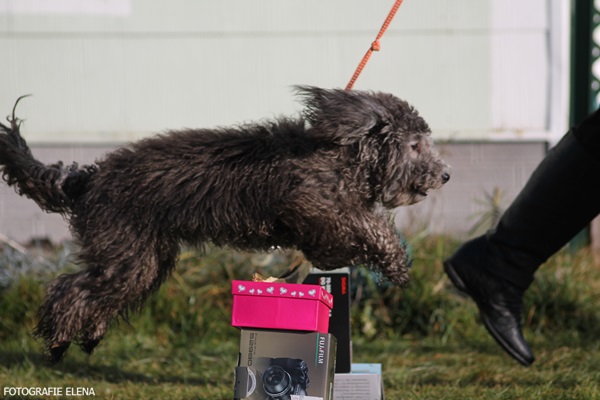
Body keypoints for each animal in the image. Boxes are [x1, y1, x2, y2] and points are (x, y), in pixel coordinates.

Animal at [0, 86, 450, 360]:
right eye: (414, 144)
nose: (445, 175)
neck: (342, 158)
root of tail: (89, 178)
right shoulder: (316, 215)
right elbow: (368, 229)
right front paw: (396, 262)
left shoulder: (323, 229)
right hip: (124, 253)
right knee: (71, 288)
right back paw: (58, 341)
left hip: (144, 259)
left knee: (97, 292)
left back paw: (88, 336)